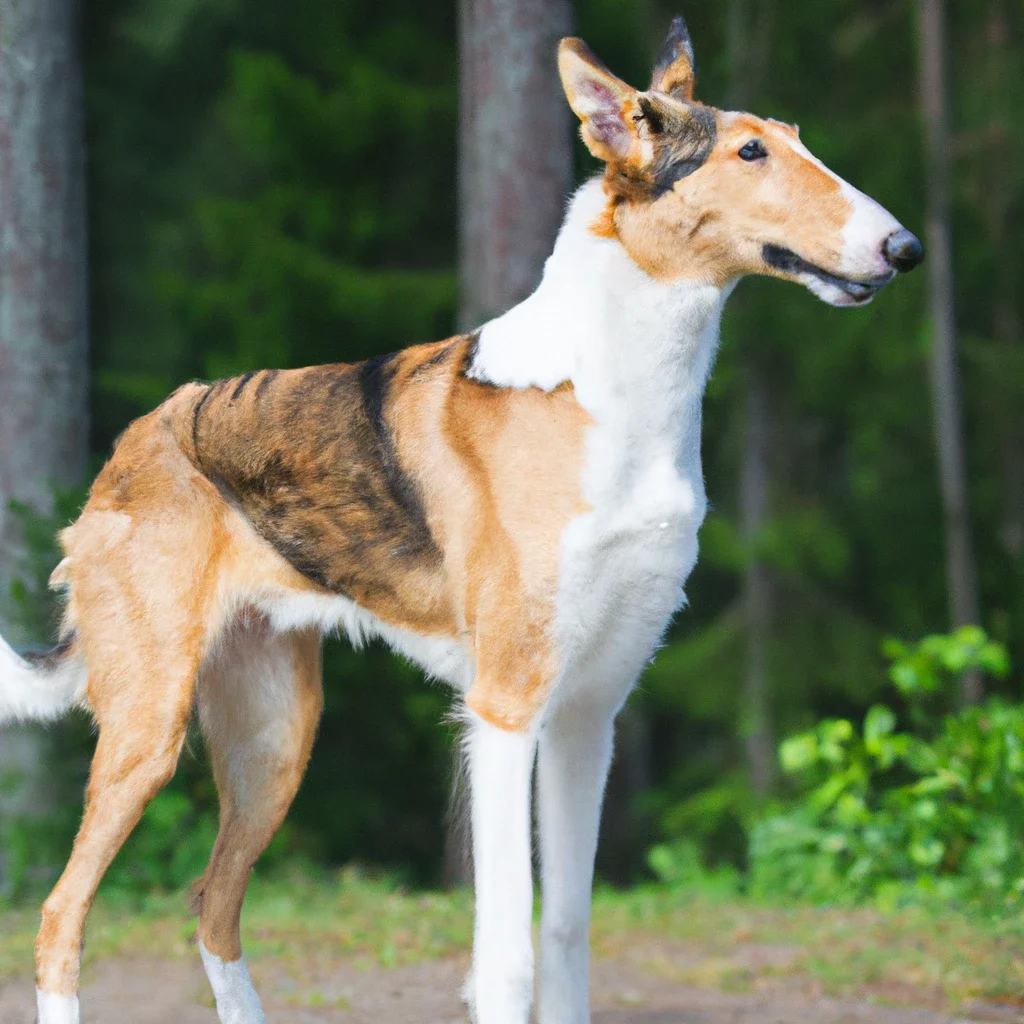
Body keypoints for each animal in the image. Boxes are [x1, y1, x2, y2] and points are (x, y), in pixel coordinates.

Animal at [2, 16, 921, 1024]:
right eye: (750, 152)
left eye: (796, 138)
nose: (907, 248)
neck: (617, 397)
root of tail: (132, 445)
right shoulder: (504, 713)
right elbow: (507, 955)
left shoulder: (588, 714)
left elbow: (566, 936)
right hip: (147, 733)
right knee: (60, 917)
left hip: (274, 741)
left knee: (212, 906)